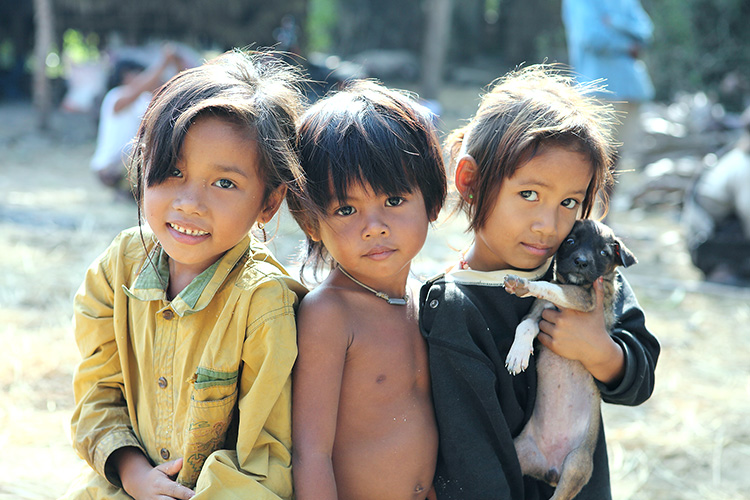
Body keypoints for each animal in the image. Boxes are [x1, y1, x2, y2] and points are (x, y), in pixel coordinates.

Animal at [502, 221, 636, 500]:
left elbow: (554, 288)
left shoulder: (585, 299)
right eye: (570, 241)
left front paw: (524, 285)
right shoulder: (537, 314)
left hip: (576, 465)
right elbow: (525, 326)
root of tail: (550, 470)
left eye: (604, 252)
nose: (581, 262)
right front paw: (518, 353)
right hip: (518, 454)